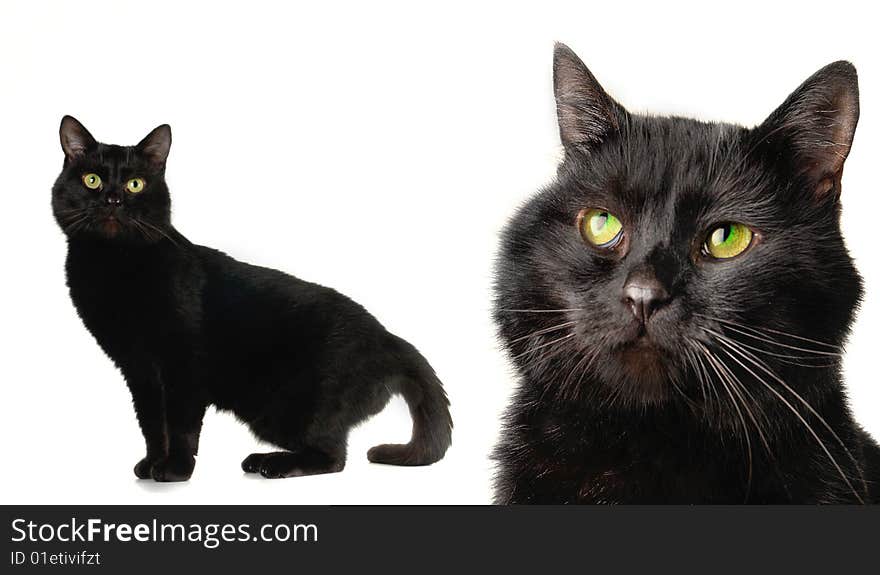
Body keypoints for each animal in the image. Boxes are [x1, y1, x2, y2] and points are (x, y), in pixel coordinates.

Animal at [54, 119, 450, 484]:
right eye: (92, 180)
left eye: (135, 184)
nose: (113, 199)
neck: (114, 265)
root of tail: (389, 339)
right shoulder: (138, 369)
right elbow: (152, 422)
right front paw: (152, 463)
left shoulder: (184, 361)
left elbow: (180, 421)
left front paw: (176, 469)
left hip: (290, 407)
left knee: (332, 456)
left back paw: (271, 464)